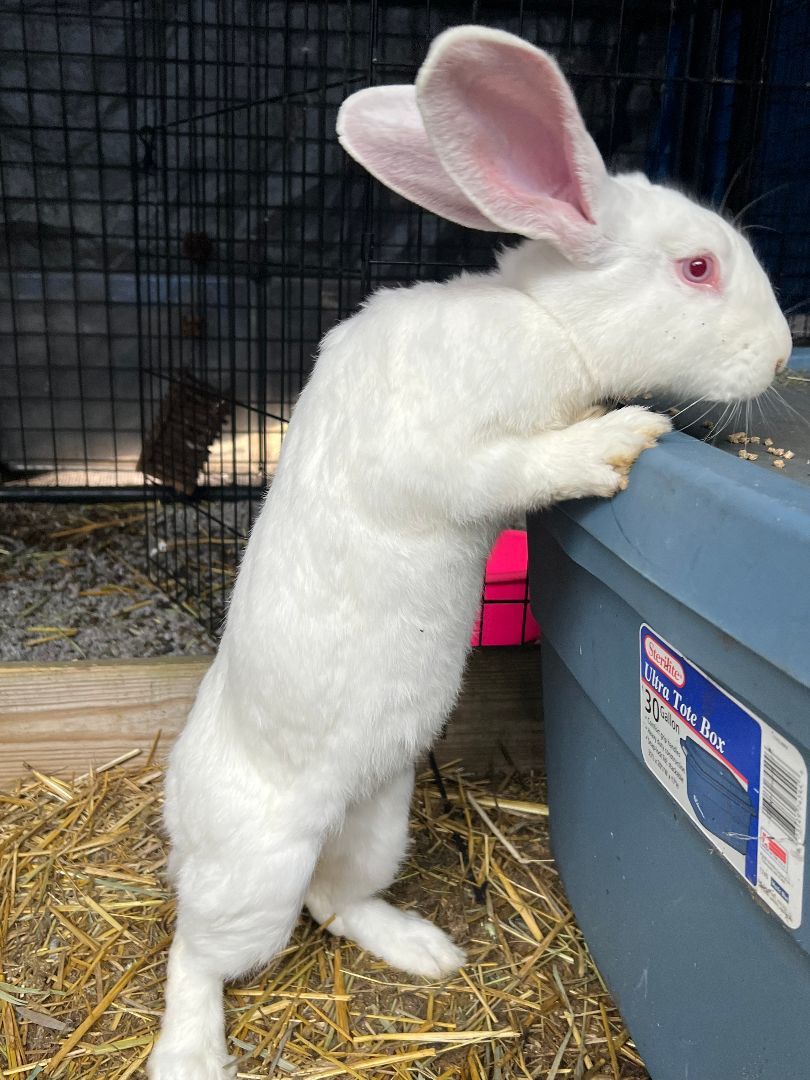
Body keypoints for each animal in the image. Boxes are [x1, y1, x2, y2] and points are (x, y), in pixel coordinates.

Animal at [147, 25, 791, 1080]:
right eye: (698, 268)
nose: (781, 356)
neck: (546, 323)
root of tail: (178, 814)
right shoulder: (449, 459)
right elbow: (521, 468)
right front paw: (618, 441)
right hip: (251, 881)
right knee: (198, 956)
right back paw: (188, 1053)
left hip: (380, 817)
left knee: (338, 901)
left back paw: (426, 950)